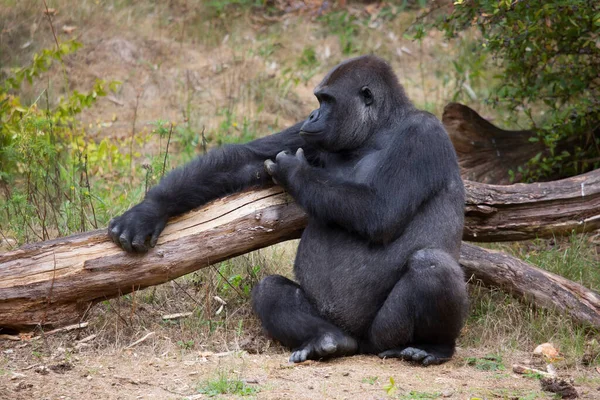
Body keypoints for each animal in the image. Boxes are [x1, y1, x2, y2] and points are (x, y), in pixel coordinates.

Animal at [111, 55, 468, 366]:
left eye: (327, 101)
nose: (311, 115)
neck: (378, 130)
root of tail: (361, 342)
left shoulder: (423, 134)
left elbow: (381, 211)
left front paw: (292, 171)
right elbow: (245, 159)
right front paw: (148, 210)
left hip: (384, 335)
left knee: (431, 265)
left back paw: (433, 347)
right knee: (271, 290)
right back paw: (326, 339)